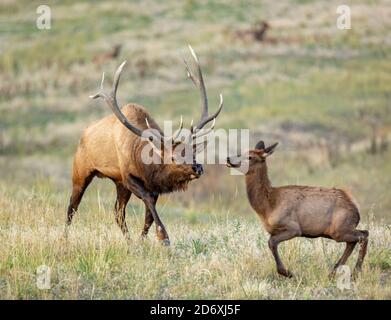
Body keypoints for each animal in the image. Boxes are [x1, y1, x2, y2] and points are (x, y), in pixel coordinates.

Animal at [67, 45, 224, 245]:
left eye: (193, 152)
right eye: (173, 157)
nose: (198, 168)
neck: (144, 162)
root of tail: (83, 134)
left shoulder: (146, 184)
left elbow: (148, 215)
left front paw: (142, 240)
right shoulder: (128, 177)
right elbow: (148, 203)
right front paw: (163, 237)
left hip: (118, 183)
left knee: (118, 212)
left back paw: (129, 242)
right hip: (81, 171)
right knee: (72, 207)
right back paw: (64, 238)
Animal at [228, 141, 370, 278]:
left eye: (250, 157)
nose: (229, 158)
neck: (268, 206)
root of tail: (355, 207)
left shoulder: (293, 228)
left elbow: (271, 243)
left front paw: (288, 273)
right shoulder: (272, 230)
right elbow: (270, 243)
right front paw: (287, 272)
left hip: (339, 228)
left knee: (364, 235)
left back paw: (356, 272)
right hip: (337, 231)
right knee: (355, 239)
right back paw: (334, 272)